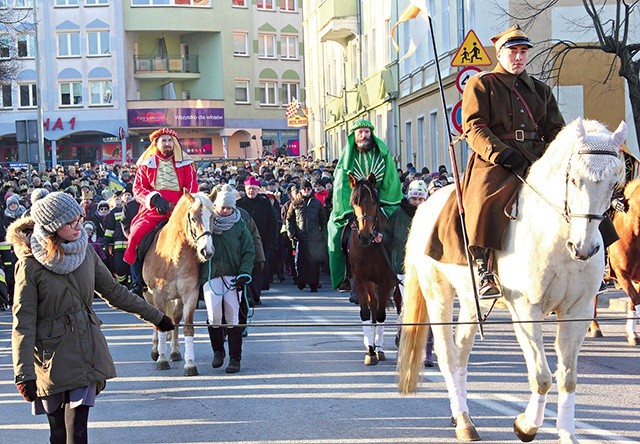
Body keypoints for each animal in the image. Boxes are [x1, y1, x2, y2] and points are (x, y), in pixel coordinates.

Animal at [143, 193, 215, 376]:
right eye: (193, 218)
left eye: (213, 217)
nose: (207, 251)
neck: (173, 257)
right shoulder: (158, 295)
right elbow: (160, 324)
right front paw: (161, 360)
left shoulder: (190, 294)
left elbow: (187, 327)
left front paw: (190, 364)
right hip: (148, 294)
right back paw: (156, 350)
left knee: (174, 317)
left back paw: (174, 351)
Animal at [350, 173, 400, 364]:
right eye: (354, 203)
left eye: (373, 202)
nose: (365, 235)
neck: (370, 247)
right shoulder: (360, 279)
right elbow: (366, 312)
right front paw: (370, 350)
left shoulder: (386, 279)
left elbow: (380, 314)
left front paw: (378, 349)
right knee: (372, 305)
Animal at [398, 119, 628, 444]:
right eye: (574, 179)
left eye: (614, 183)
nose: (584, 248)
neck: (556, 236)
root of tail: (426, 206)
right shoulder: (526, 310)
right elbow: (542, 376)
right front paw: (526, 425)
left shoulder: (578, 312)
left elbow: (567, 378)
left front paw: (566, 433)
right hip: (438, 294)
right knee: (447, 355)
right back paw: (462, 420)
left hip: (470, 301)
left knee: (461, 352)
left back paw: (464, 418)